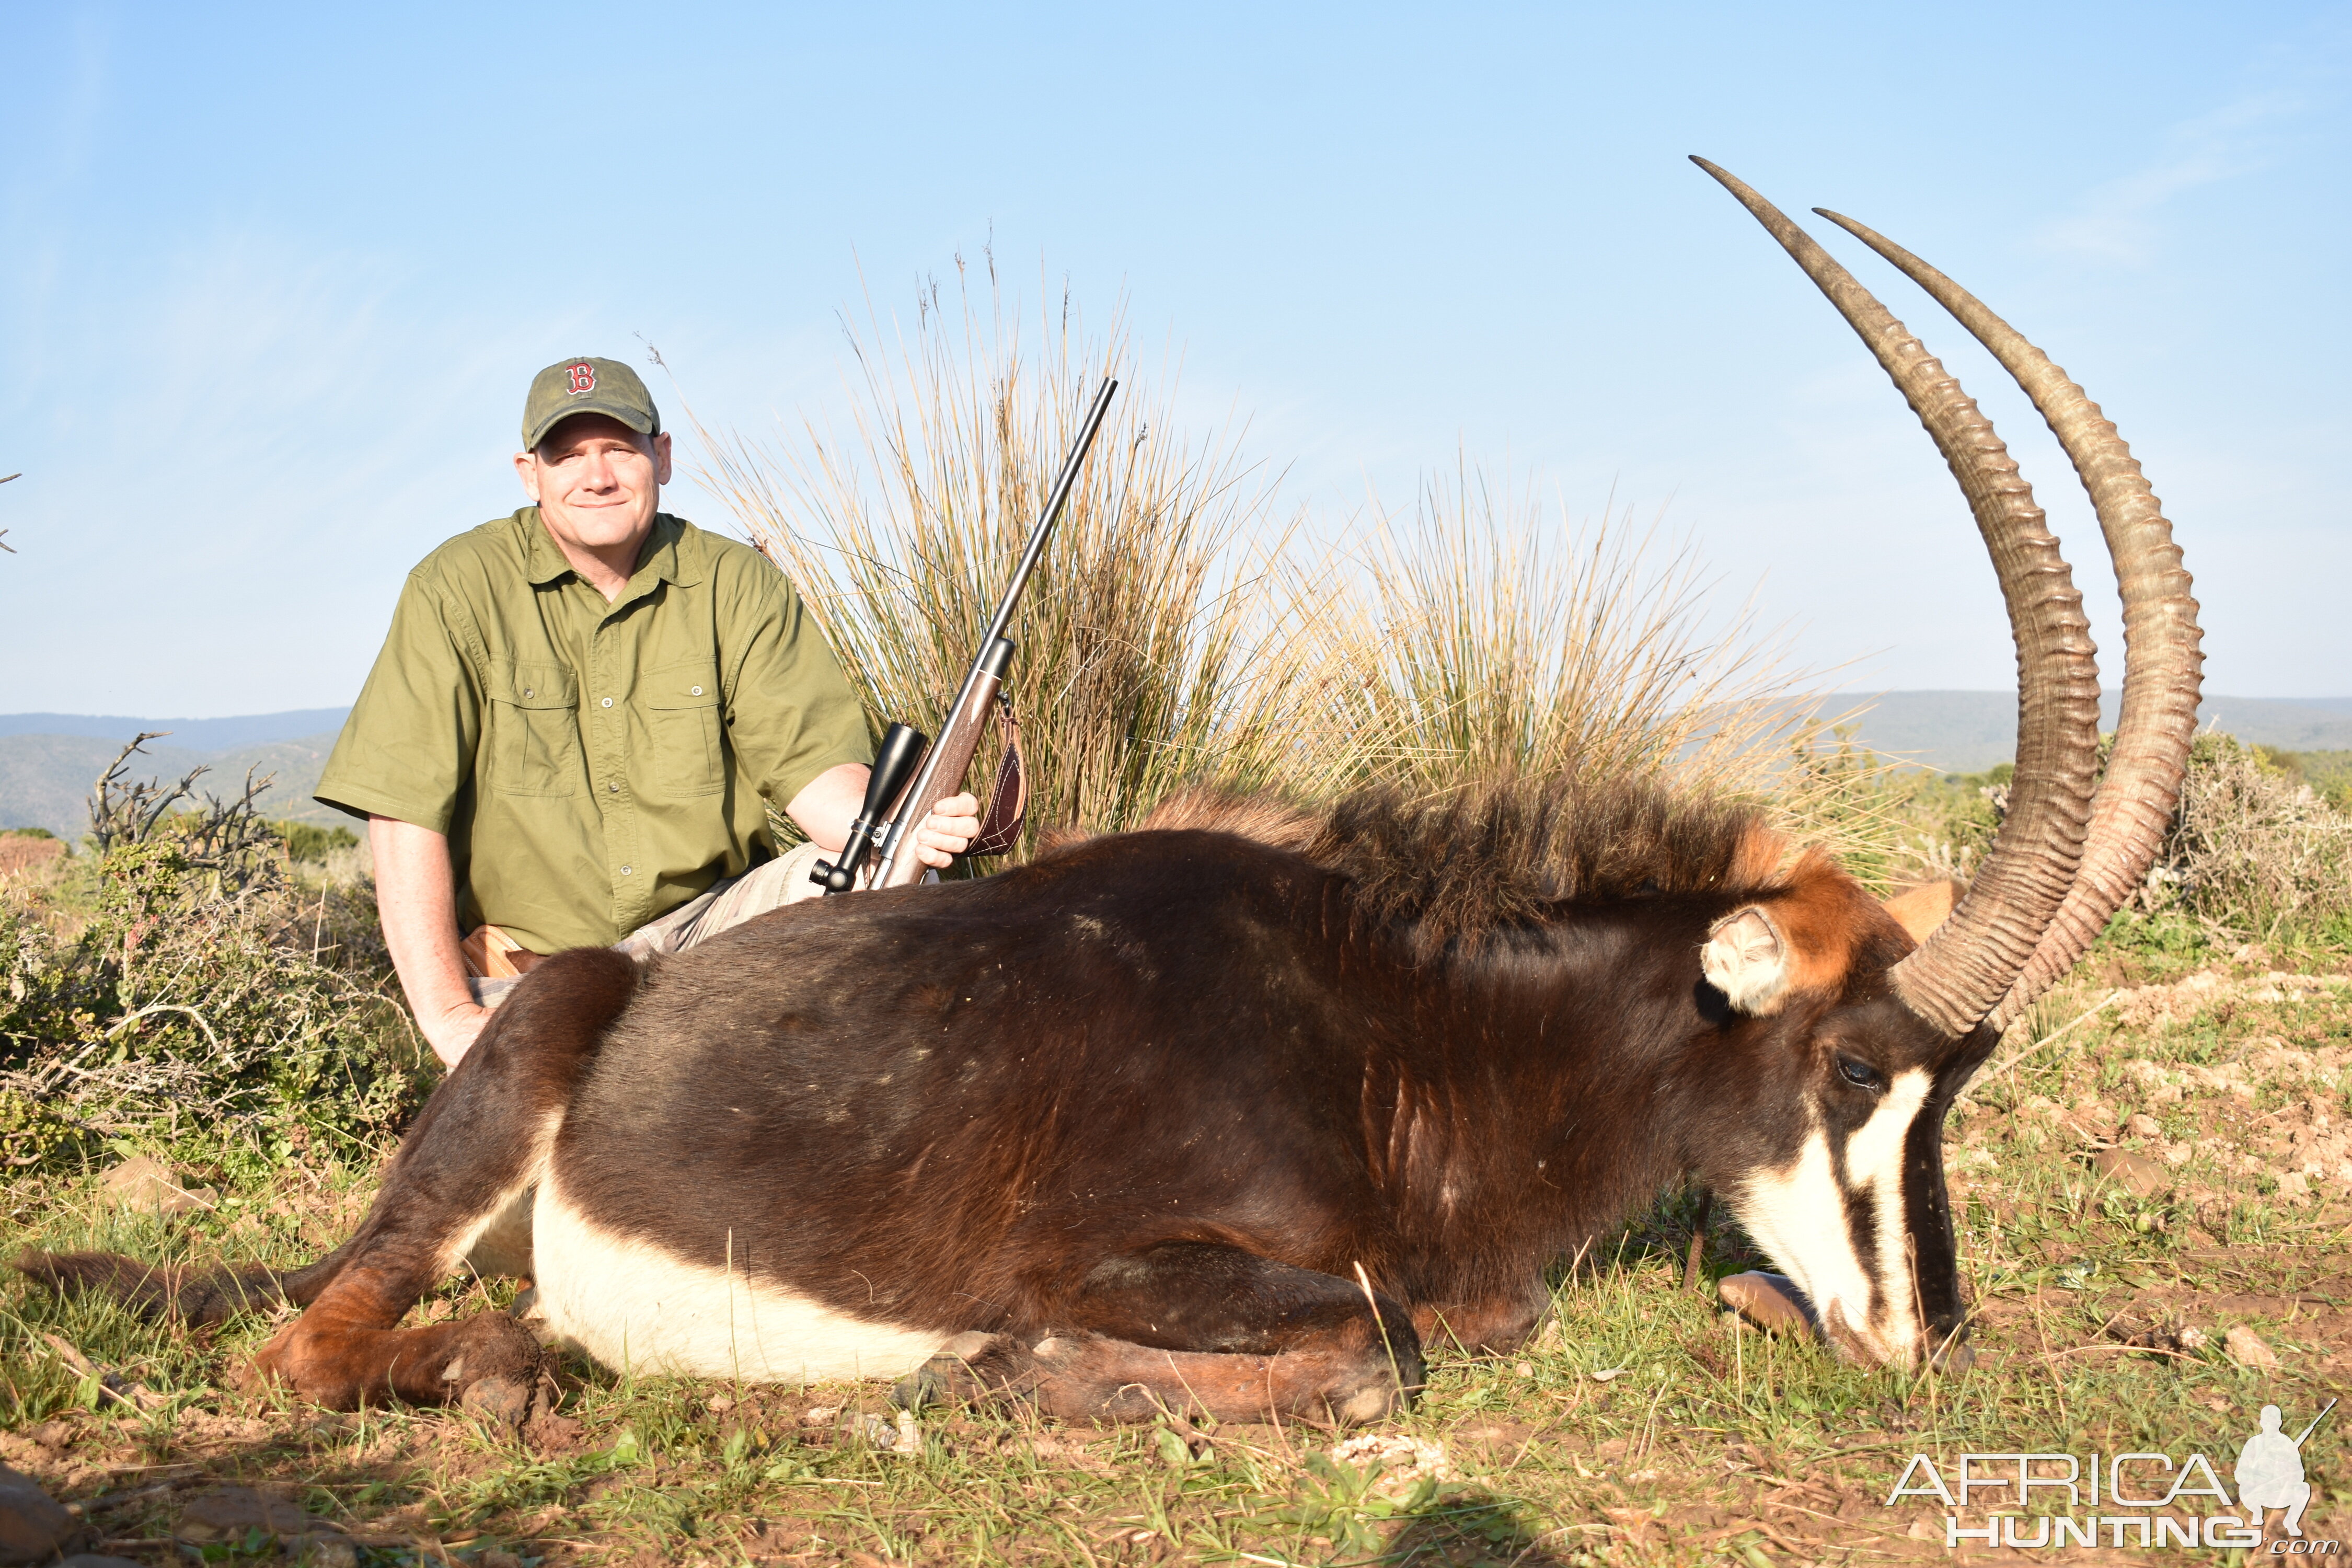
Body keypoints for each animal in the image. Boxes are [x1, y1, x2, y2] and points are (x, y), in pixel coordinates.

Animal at [27, 166, 2201, 1429]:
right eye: (1854, 1069)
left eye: (1950, 1091)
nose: (1926, 1343)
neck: (1395, 1021)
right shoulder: (1157, 1258)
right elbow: (1387, 1343)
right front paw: (998, 1374)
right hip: (524, 1047)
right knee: (313, 1344)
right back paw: (539, 1367)